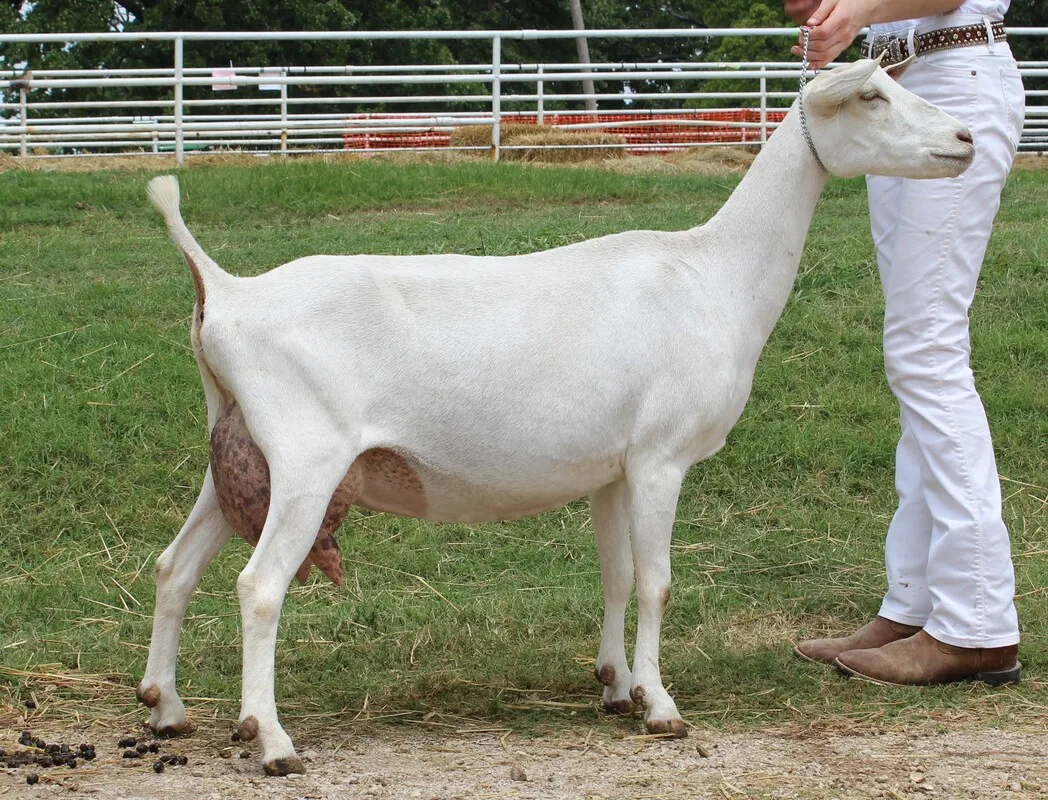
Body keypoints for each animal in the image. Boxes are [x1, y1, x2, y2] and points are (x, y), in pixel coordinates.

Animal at [138, 58, 974, 776]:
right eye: (871, 96)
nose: (965, 140)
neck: (715, 271)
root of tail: (226, 291)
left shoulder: (613, 468)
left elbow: (616, 575)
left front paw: (616, 685)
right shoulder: (660, 456)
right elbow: (657, 581)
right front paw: (661, 705)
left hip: (237, 454)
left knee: (176, 567)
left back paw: (165, 708)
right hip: (307, 459)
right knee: (258, 586)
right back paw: (272, 740)